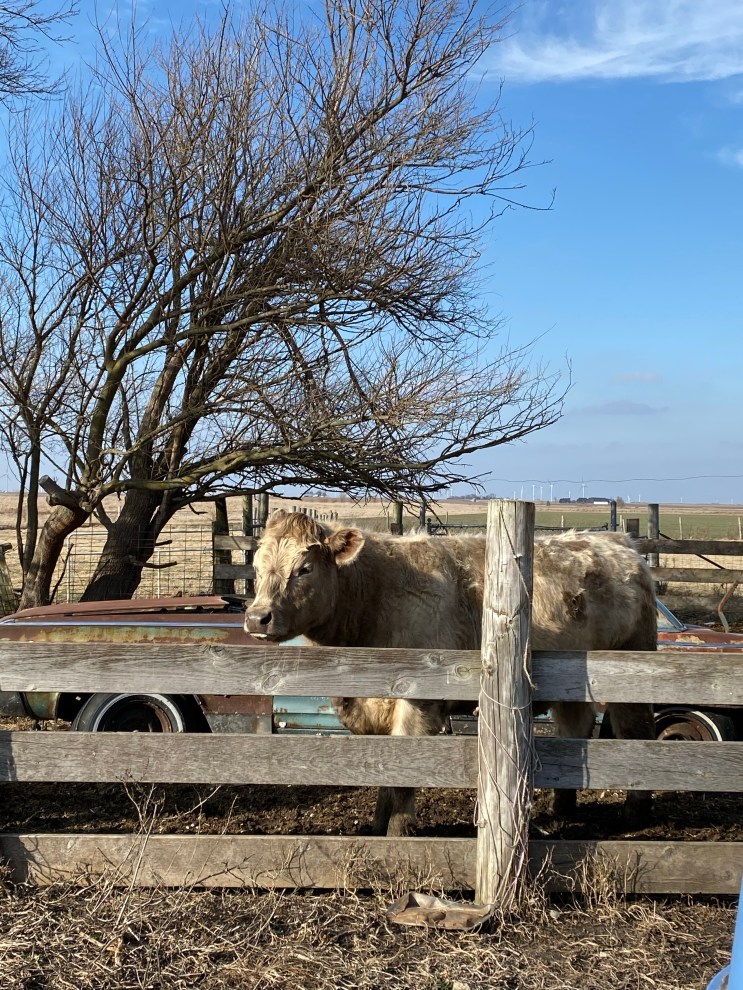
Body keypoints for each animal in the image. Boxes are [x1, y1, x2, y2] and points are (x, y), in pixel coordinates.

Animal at [245, 509, 657, 837]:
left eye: (305, 568)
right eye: (257, 567)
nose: (256, 617)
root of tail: (620, 543)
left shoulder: (419, 701)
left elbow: (403, 775)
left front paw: (398, 833)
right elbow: (384, 772)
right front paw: (377, 827)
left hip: (633, 667)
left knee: (635, 732)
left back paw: (635, 812)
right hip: (572, 682)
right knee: (575, 727)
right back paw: (562, 808)